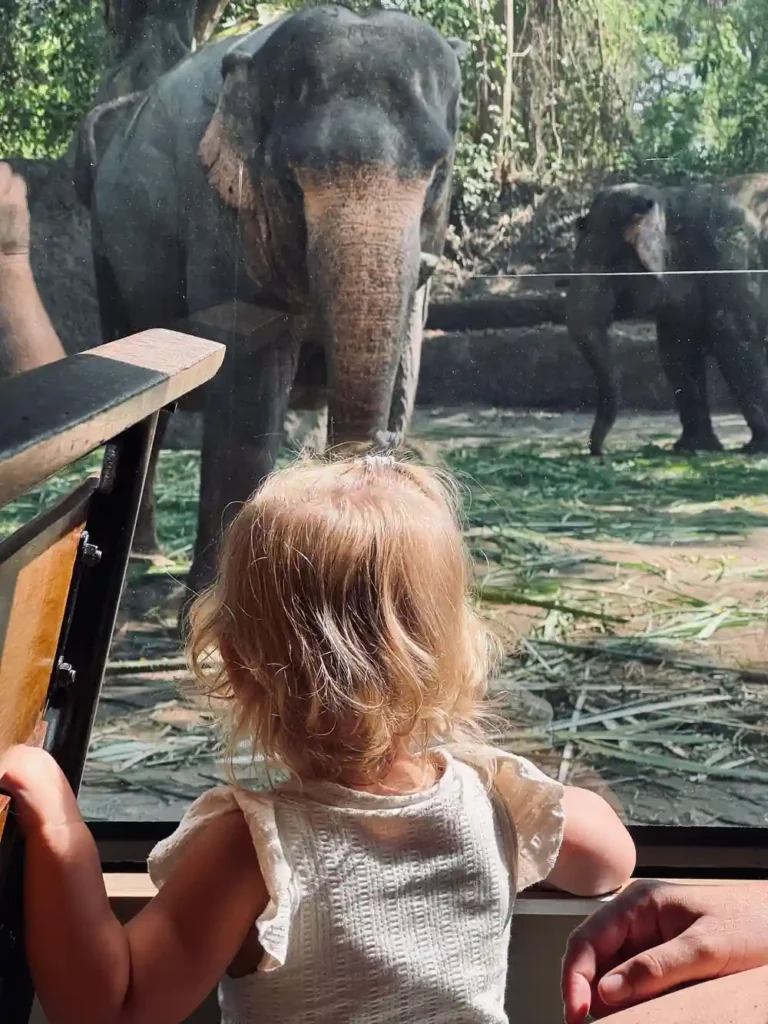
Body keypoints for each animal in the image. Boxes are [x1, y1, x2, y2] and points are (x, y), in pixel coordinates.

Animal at [75, 5, 464, 599]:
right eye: (292, 174)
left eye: (440, 171)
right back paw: (143, 557)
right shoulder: (223, 215)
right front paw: (213, 598)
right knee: (148, 402)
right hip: (108, 252)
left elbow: (406, 367)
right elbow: (250, 384)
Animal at [566, 174, 768, 456]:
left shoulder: (733, 260)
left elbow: (734, 340)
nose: (598, 451)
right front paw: (693, 448)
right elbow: (677, 352)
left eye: (611, 265)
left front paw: (757, 448)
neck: (669, 203)